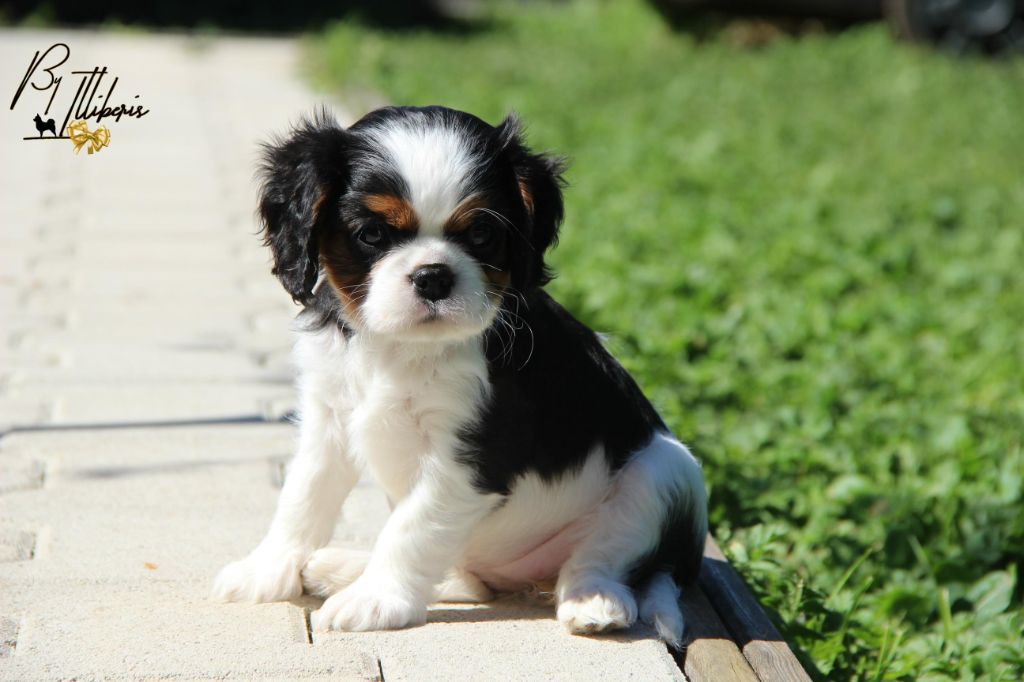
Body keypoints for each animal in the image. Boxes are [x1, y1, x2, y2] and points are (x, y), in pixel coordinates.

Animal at [214, 104, 712, 643]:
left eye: (480, 234)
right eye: (372, 234)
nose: (433, 276)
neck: (398, 345)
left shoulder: (468, 459)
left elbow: (411, 528)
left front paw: (375, 600)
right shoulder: (328, 417)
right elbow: (303, 497)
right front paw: (267, 571)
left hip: (665, 471)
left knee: (602, 557)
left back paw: (593, 600)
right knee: (468, 579)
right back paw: (339, 567)